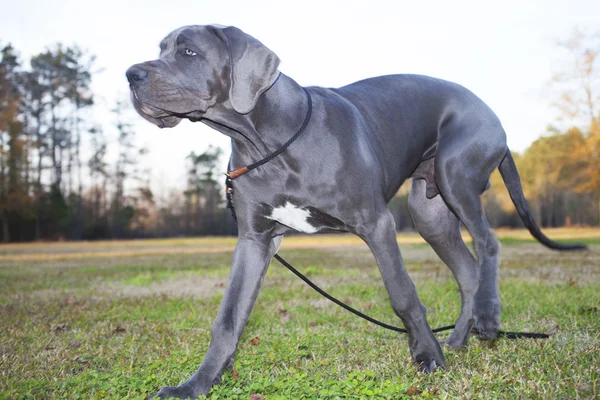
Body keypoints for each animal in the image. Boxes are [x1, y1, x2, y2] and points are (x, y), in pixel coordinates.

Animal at [125, 25, 580, 400]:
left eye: (188, 51)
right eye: (161, 48)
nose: (131, 74)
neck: (267, 139)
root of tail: (491, 112)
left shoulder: (377, 224)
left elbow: (403, 294)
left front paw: (428, 357)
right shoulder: (254, 239)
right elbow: (229, 315)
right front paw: (198, 384)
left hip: (456, 175)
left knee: (489, 243)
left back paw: (485, 318)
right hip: (429, 212)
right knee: (468, 270)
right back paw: (458, 339)